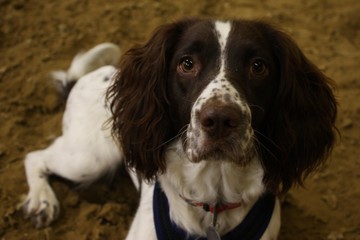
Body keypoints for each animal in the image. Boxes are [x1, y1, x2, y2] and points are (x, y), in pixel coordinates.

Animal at [22, 17, 338, 239]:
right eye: (186, 63)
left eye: (259, 66)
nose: (220, 119)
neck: (214, 200)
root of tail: (83, 78)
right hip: (89, 158)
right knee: (35, 156)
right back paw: (41, 201)